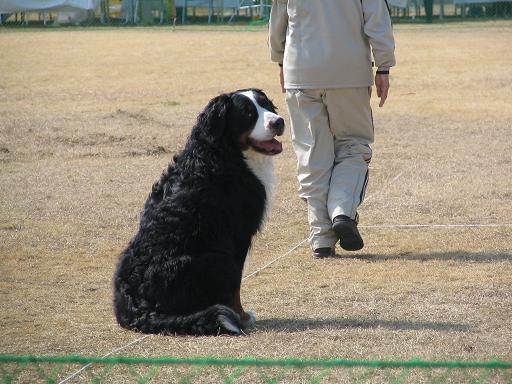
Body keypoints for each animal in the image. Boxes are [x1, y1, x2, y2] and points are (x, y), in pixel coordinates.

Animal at [112, 88, 286, 334]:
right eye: (248, 114)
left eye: (267, 105)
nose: (278, 122)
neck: (222, 153)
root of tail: (133, 305)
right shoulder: (236, 238)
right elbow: (235, 288)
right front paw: (242, 317)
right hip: (215, 257)